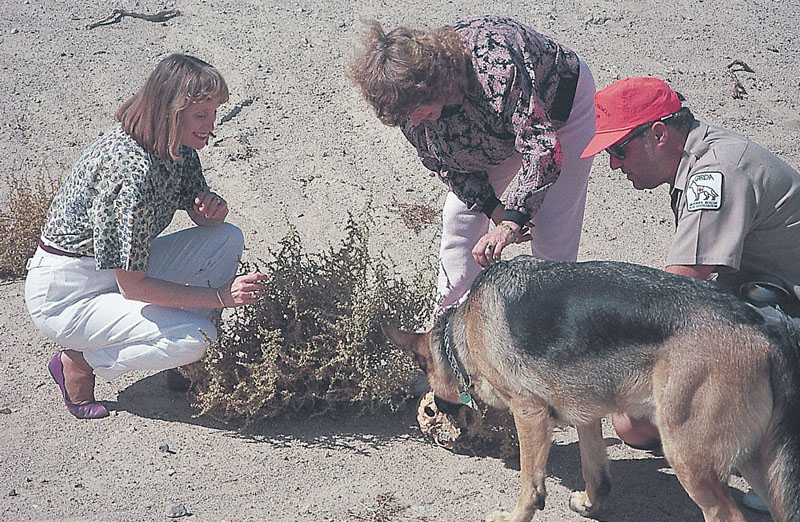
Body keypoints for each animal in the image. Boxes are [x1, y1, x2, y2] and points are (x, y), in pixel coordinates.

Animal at [382, 256, 800, 520]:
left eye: (433, 409)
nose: (436, 417)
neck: (462, 334)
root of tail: (763, 328)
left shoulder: (529, 412)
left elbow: (530, 485)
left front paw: (514, 516)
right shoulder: (586, 415)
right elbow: (596, 471)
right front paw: (590, 505)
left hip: (688, 457)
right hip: (761, 468)